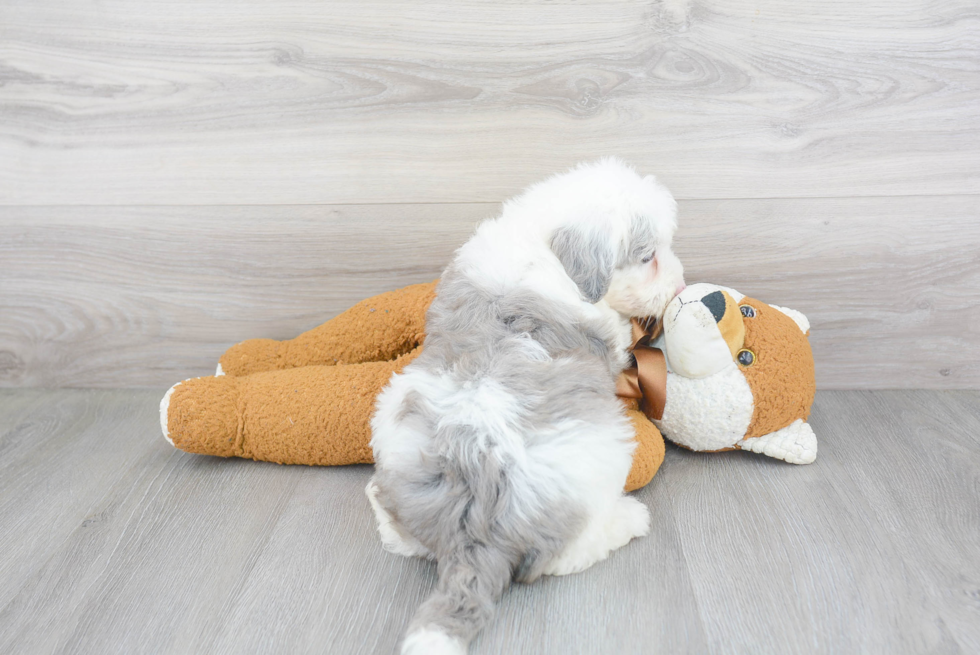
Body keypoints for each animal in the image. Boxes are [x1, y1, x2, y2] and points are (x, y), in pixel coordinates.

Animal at [366, 159, 680, 655]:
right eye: (648, 256)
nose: (682, 283)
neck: (544, 244)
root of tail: (473, 527)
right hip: (602, 454)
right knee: (559, 558)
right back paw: (630, 519)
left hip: (392, 412)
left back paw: (383, 512)